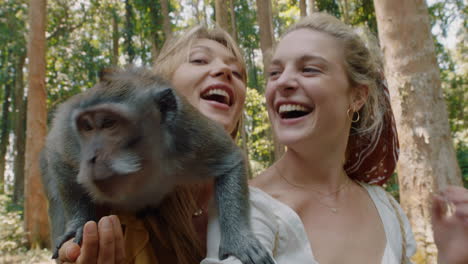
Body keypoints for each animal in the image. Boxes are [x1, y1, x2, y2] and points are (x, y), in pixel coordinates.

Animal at [41, 67, 274, 264]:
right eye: (87, 127)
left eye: (109, 123)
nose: (91, 157)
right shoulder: (72, 139)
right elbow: (58, 157)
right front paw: (78, 224)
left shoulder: (188, 133)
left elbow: (230, 162)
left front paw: (238, 242)